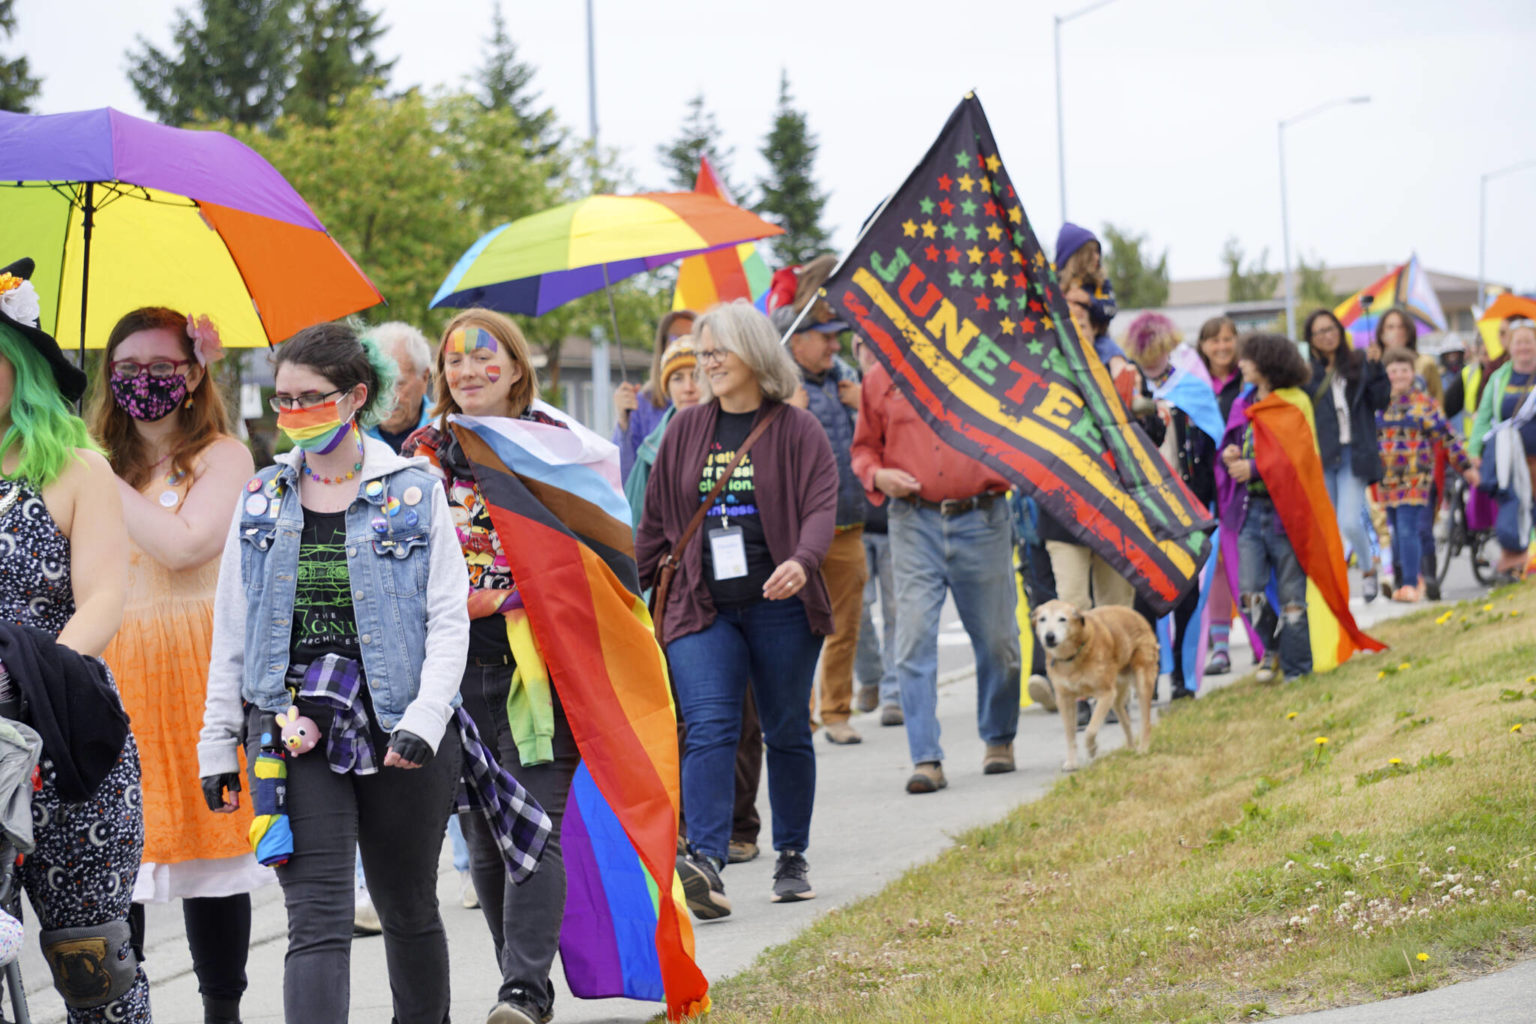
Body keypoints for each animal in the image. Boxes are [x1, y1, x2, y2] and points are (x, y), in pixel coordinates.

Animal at [1026, 595, 1155, 773]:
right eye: (1042, 619)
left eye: (1062, 619)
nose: (1049, 636)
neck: (1072, 657)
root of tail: (1135, 614)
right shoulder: (1064, 699)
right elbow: (1070, 734)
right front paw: (1072, 762)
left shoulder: (1105, 694)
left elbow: (1091, 729)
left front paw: (1092, 749)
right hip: (1116, 697)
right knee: (1125, 720)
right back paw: (1130, 749)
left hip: (1141, 682)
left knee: (1146, 721)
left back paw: (1142, 749)